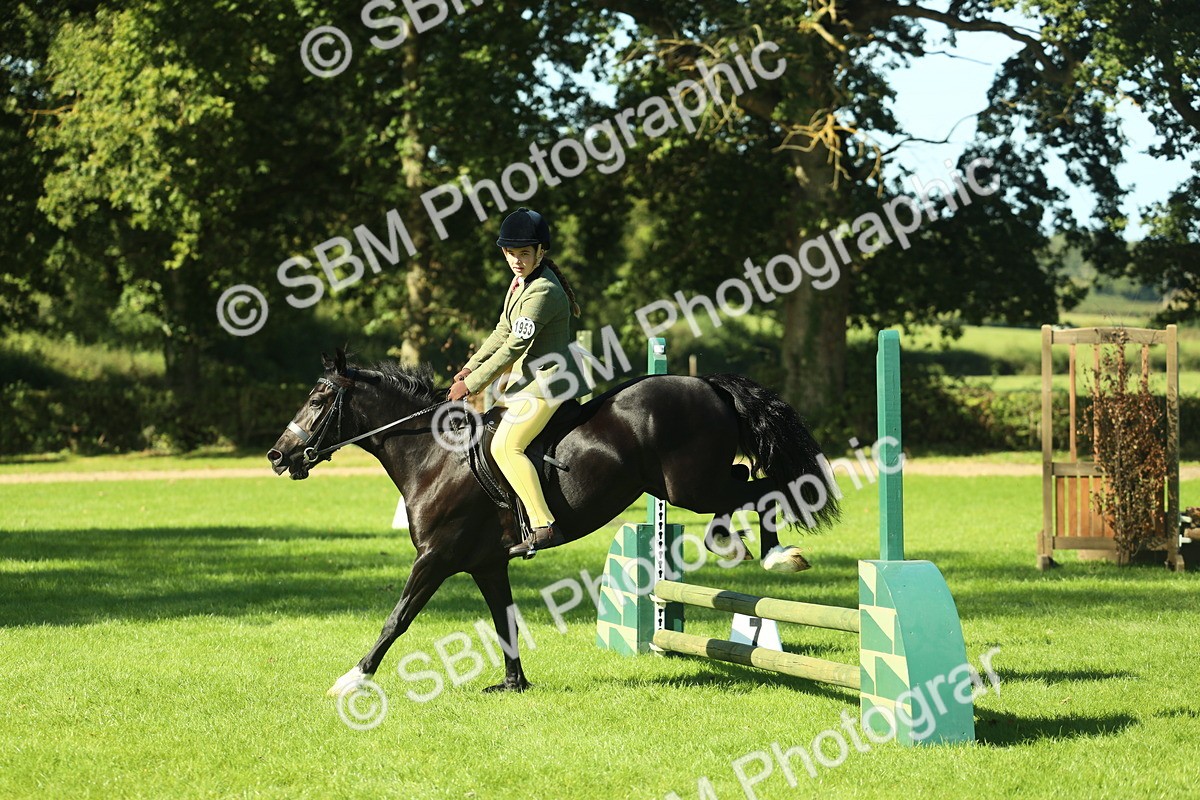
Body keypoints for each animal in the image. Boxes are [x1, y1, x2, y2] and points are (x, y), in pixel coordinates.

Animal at [267, 348, 840, 695]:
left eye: (319, 398)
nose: (277, 456)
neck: (434, 455)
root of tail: (707, 384)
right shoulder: (486, 565)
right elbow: (504, 621)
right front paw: (513, 684)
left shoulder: (435, 559)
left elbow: (397, 619)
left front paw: (352, 680)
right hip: (687, 486)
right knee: (747, 478)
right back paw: (736, 542)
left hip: (689, 487)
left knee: (761, 487)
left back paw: (771, 553)